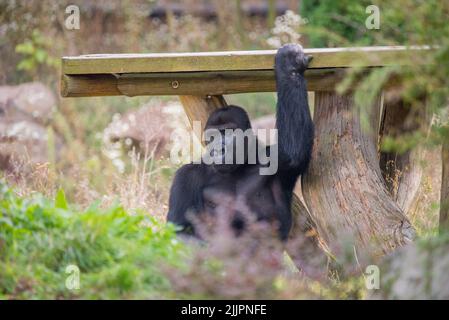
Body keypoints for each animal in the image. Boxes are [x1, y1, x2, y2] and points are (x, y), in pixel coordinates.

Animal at [164, 44, 312, 240]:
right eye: (211, 137)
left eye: (227, 132)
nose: (219, 149)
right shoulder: (186, 175)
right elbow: (178, 230)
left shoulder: (277, 161)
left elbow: (294, 152)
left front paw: (289, 64)